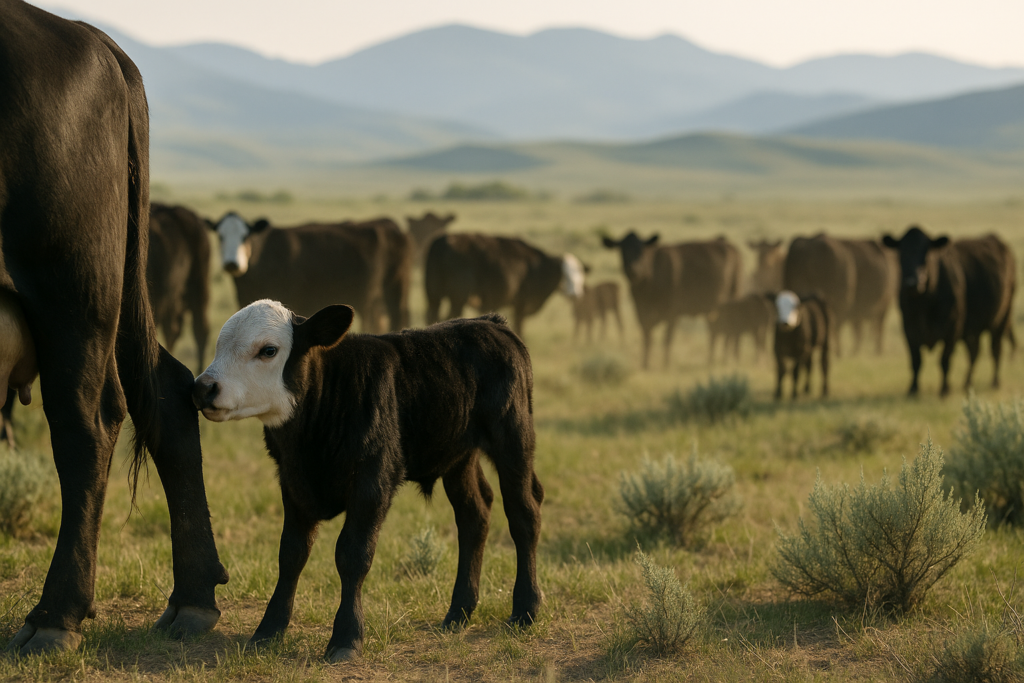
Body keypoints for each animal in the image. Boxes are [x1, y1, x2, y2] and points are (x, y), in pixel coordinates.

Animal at [192, 301, 544, 662]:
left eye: (268, 350)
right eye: (219, 345)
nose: (203, 387)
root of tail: (491, 323)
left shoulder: (373, 481)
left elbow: (353, 554)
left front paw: (346, 637)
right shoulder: (293, 482)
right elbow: (291, 554)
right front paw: (268, 630)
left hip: (513, 438)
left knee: (523, 514)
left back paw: (525, 609)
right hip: (458, 455)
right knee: (475, 515)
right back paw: (459, 612)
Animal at [424, 233, 585, 337]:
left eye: (580, 276)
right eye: (565, 275)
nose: (576, 294)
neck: (538, 267)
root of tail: (442, 241)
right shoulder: (521, 304)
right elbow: (520, 327)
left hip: (433, 295)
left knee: (432, 316)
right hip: (458, 298)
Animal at [602, 232, 743, 369]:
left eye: (641, 249)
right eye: (623, 249)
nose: (634, 269)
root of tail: (732, 248)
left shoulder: (673, 313)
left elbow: (667, 339)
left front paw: (666, 364)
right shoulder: (641, 311)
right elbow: (647, 337)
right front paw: (645, 364)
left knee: (730, 331)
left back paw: (727, 359)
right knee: (716, 332)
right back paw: (713, 360)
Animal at [882, 226, 1016, 396]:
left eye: (927, 252)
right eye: (902, 252)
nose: (913, 282)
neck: (924, 303)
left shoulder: (952, 329)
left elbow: (944, 360)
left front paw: (945, 389)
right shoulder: (909, 329)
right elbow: (916, 360)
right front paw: (913, 389)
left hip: (1001, 320)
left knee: (996, 350)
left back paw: (995, 382)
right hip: (972, 330)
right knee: (974, 353)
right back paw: (967, 383)